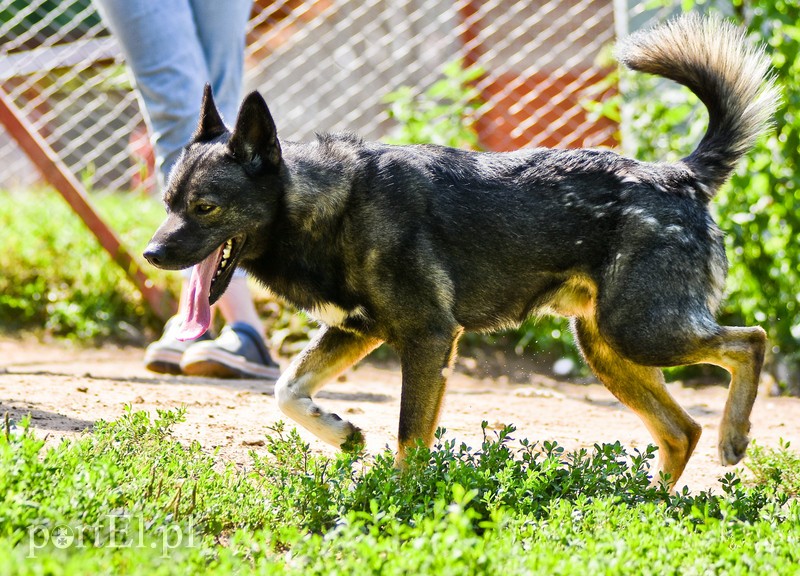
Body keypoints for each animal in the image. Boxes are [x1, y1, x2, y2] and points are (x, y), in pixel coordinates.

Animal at [142, 14, 776, 486]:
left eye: (204, 207)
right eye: (168, 201)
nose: (151, 254)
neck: (328, 204)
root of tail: (679, 175)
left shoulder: (428, 338)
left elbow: (408, 441)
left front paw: (398, 507)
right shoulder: (356, 331)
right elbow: (286, 390)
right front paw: (341, 432)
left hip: (640, 331)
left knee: (750, 341)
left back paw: (733, 438)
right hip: (608, 347)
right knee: (680, 430)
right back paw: (646, 504)